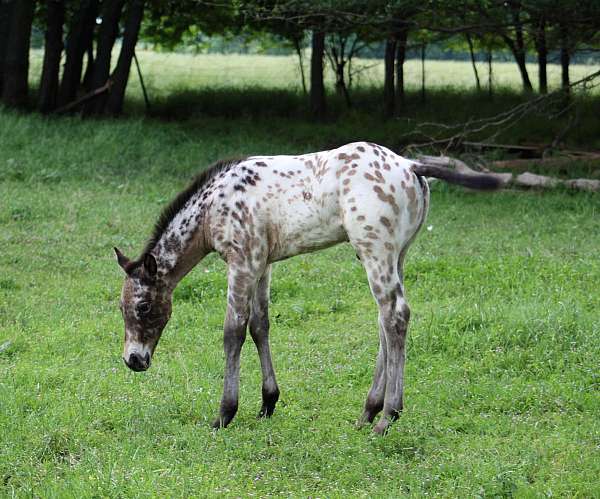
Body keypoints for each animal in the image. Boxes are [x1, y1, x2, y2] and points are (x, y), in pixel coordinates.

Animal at [115, 143, 500, 436]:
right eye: (121, 308)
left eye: (143, 307)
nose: (133, 360)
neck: (213, 207)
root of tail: (410, 165)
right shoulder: (262, 264)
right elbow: (260, 326)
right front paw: (267, 403)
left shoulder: (241, 263)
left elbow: (233, 332)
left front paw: (225, 413)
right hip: (398, 255)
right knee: (386, 321)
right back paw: (368, 413)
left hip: (375, 252)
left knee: (395, 315)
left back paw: (387, 417)